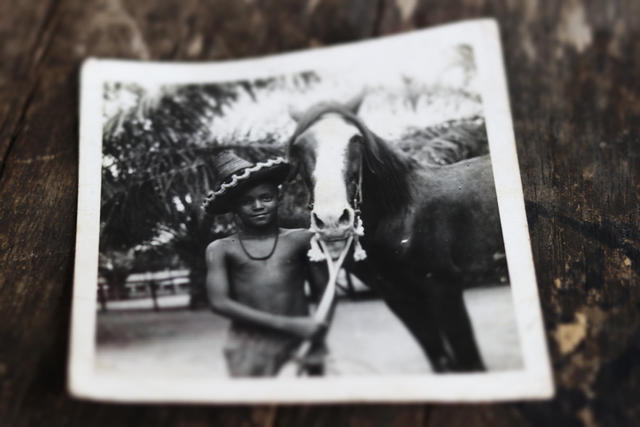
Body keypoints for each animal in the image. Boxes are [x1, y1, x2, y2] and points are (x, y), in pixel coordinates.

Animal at [286, 99, 504, 372]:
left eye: (356, 139)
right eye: (298, 147)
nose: (332, 220)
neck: (402, 214)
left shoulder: (445, 290)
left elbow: (469, 360)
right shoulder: (399, 299)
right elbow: (440, 359)